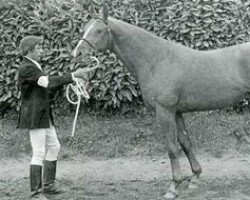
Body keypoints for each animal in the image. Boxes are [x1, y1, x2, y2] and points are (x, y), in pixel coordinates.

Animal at [71, 3, 250, 199]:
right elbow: (185, 143)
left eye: (99, 30)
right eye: (84, 29)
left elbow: (171, 148)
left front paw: (173, 187)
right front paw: (194, 177)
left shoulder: (164, 111)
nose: (78, 53)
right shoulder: (176, 112)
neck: (157, 60)